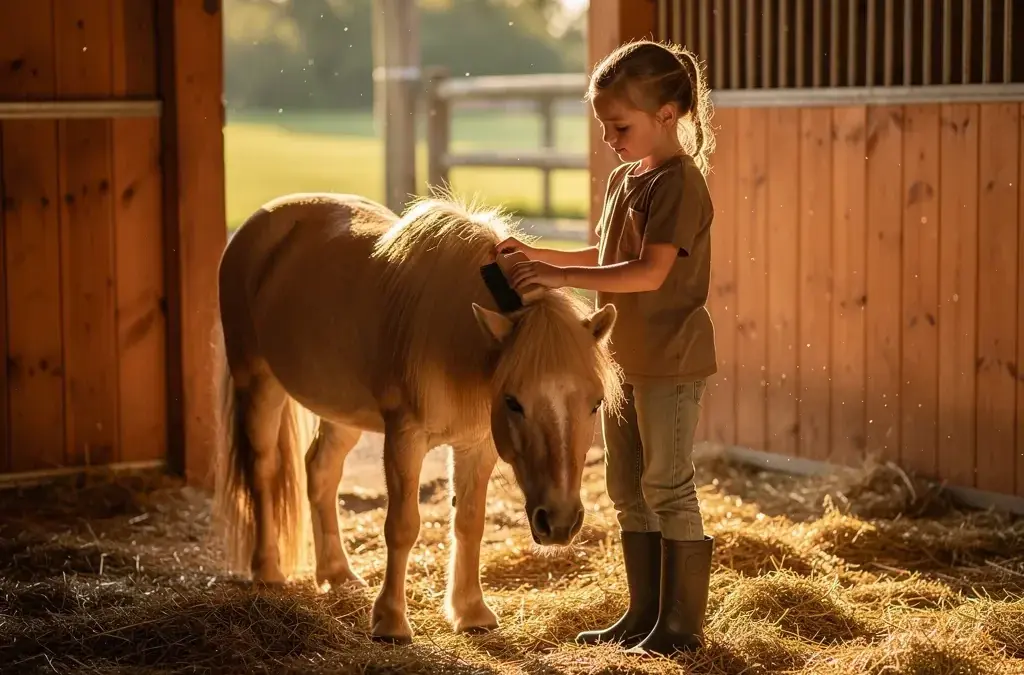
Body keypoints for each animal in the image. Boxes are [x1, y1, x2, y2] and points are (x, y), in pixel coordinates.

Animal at [211, 191, 625, 643]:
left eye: (595, 404)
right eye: (514, 402)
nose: (561, 522)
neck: (452, 334)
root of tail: (258, 224)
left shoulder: (476, 444)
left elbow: (469, 521)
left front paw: (471, 612)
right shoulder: (404, 438)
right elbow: (403, 525)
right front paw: (390, 621)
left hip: (342, 415)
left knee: (320, 472)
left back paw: (337, 574)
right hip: (258, 382)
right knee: (263, 471)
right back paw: (268, 571)